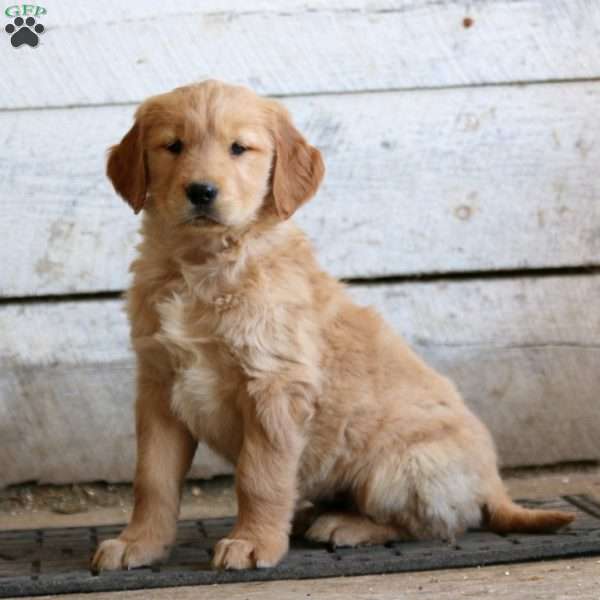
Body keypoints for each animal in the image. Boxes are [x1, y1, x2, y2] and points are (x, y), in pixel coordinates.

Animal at [91, 79, 576, 572]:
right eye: (173, 146)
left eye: (239, 148)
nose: (202, 191)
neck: (203, 265)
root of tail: (494, 484)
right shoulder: (159, 385)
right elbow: (152, 479)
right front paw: (139, 543)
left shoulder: (274, 386)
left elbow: (259, 476)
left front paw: (253, 542)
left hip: (400, 466)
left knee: (433, 525)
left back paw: (344, 525)